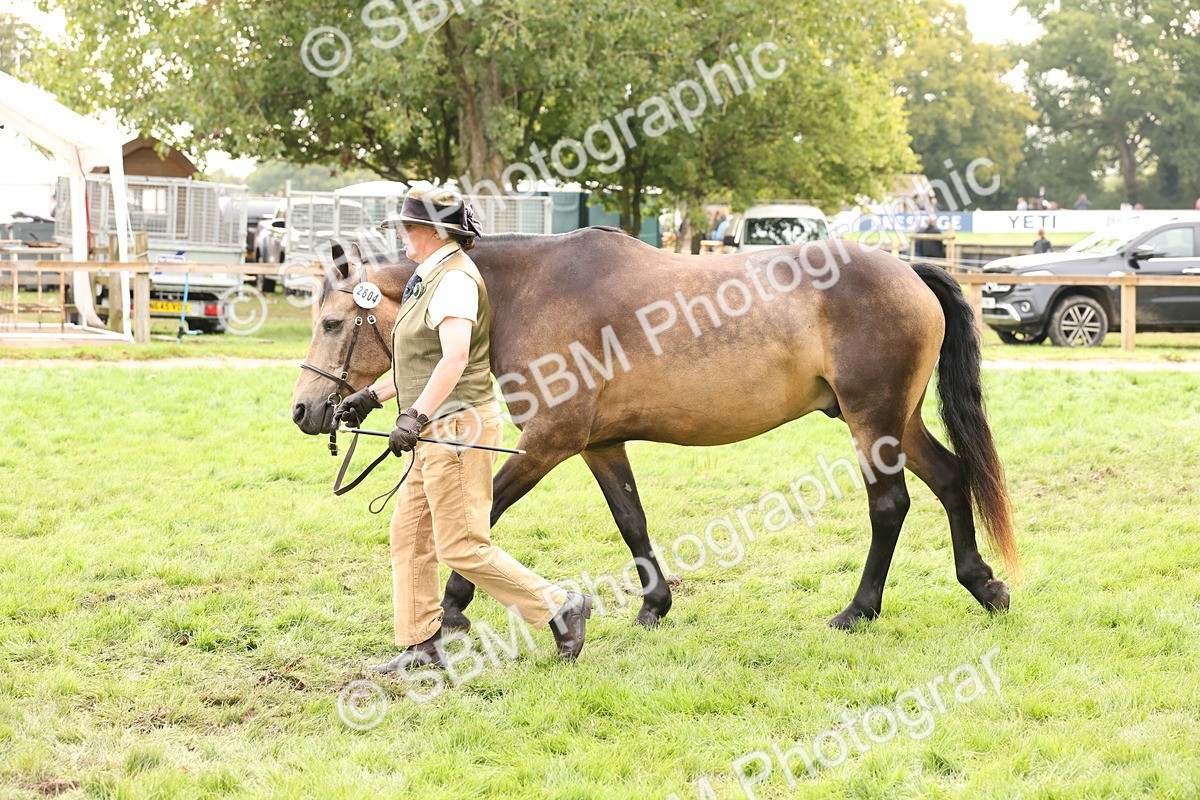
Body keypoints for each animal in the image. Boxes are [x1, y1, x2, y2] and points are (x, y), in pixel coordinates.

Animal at [291, 228, 1018, 631]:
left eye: (331, 322)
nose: (306, 411)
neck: (525, 292)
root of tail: (906, 269)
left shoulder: (547, 443)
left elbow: (481, 518)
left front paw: (453, 605)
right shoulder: (599, 444)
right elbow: (631, 519)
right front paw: (655, 605)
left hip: (872, 422)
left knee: (889, 505)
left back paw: (859, 610)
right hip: (898, 422)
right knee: (951, 478)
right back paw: (983, 584)